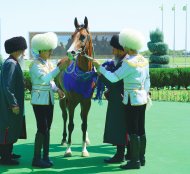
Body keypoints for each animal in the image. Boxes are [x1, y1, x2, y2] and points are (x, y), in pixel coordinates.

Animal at [56, 16, 95, 158]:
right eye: (72, 36)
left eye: (83, 36)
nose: (70, 52)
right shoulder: (72, 100)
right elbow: (71, 124)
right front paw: (68, 149)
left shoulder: (87, 101)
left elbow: (84, 124)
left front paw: (84, 149)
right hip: (62, 98)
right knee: (65, 116)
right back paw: (63, 139)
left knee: (81, 117)